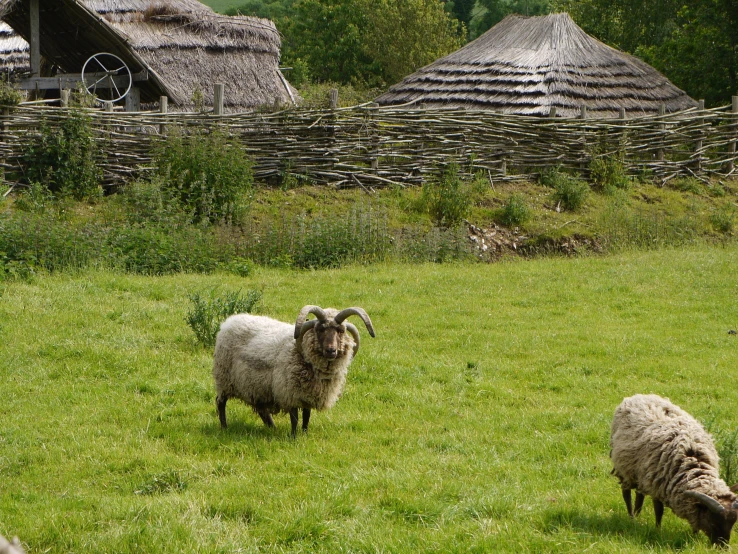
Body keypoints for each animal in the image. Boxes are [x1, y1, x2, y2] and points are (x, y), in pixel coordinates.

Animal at [213, 302, 374, 436]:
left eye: (341, 331)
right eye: (320, 329)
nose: (331, 350)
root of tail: (229, 321)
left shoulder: (308, 393)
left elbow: (307, 416)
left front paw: (304, 434)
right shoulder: (290, 391)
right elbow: (295, 418)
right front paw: (294, 436)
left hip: (256, 386)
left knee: (261, 410)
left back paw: (272, 427)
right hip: (224, 378)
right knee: (220, 402)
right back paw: (224, 427)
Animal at [608, 392, 736, 544]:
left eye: (732, 524)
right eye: (713, 522)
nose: (722, 547)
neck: (691, 464)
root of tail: (638, 395)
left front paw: (694, 535)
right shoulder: (657, 483)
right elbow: (659, 510)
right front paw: (658, 530)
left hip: (640, 472)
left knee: (639, 494)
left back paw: (638, 515)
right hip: (625, 467)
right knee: (626, 493)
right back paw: (632, 517)